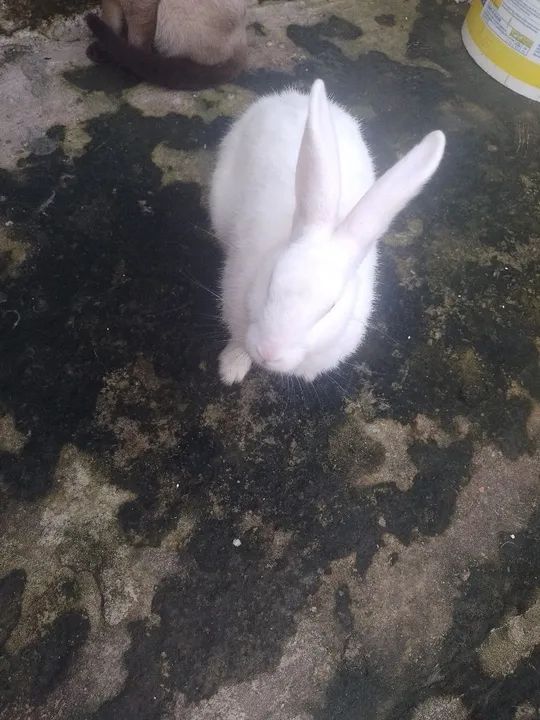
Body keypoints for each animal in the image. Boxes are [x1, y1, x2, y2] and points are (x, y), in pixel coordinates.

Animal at [209, 79, 445, 384]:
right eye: (271, 281)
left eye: (330, 308)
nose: (269, 351)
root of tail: (289, 98)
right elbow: (238, 343)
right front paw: (232, 368)